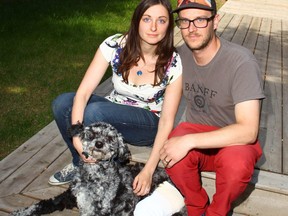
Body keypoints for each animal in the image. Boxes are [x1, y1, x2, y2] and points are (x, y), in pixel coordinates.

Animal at [11, 122, 186, 215]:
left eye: (110, 138)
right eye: (92, 134)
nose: (99, 143)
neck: (93, 177)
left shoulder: (103, 207)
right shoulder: (66, 197)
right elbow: (41, 205)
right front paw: (22, 212)